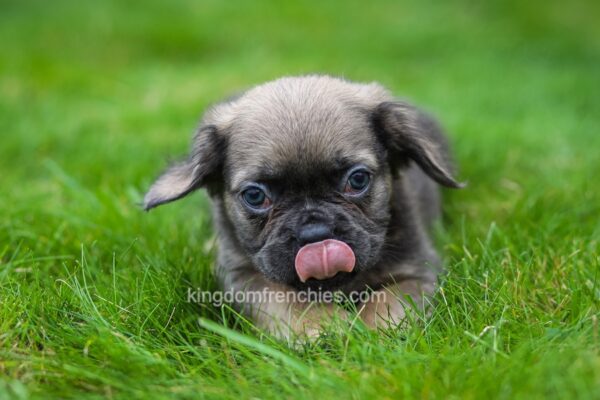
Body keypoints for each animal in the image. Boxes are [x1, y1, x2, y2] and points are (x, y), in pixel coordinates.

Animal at [143, 75, 462, 338]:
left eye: (357, 180)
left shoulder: (417, 271)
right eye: (255, 196)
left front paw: (375, 333)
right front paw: (322, 324)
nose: (315, 234)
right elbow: (285, 299)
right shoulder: (245, 278)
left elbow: (389, 300)